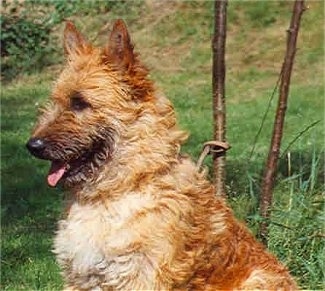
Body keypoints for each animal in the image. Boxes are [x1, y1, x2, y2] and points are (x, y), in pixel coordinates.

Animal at [27, 19, 296, 290]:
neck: (118, 190)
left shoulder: (141, 277)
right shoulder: (80, 276)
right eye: (54, 101)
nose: (32, 146)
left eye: (80, 103)